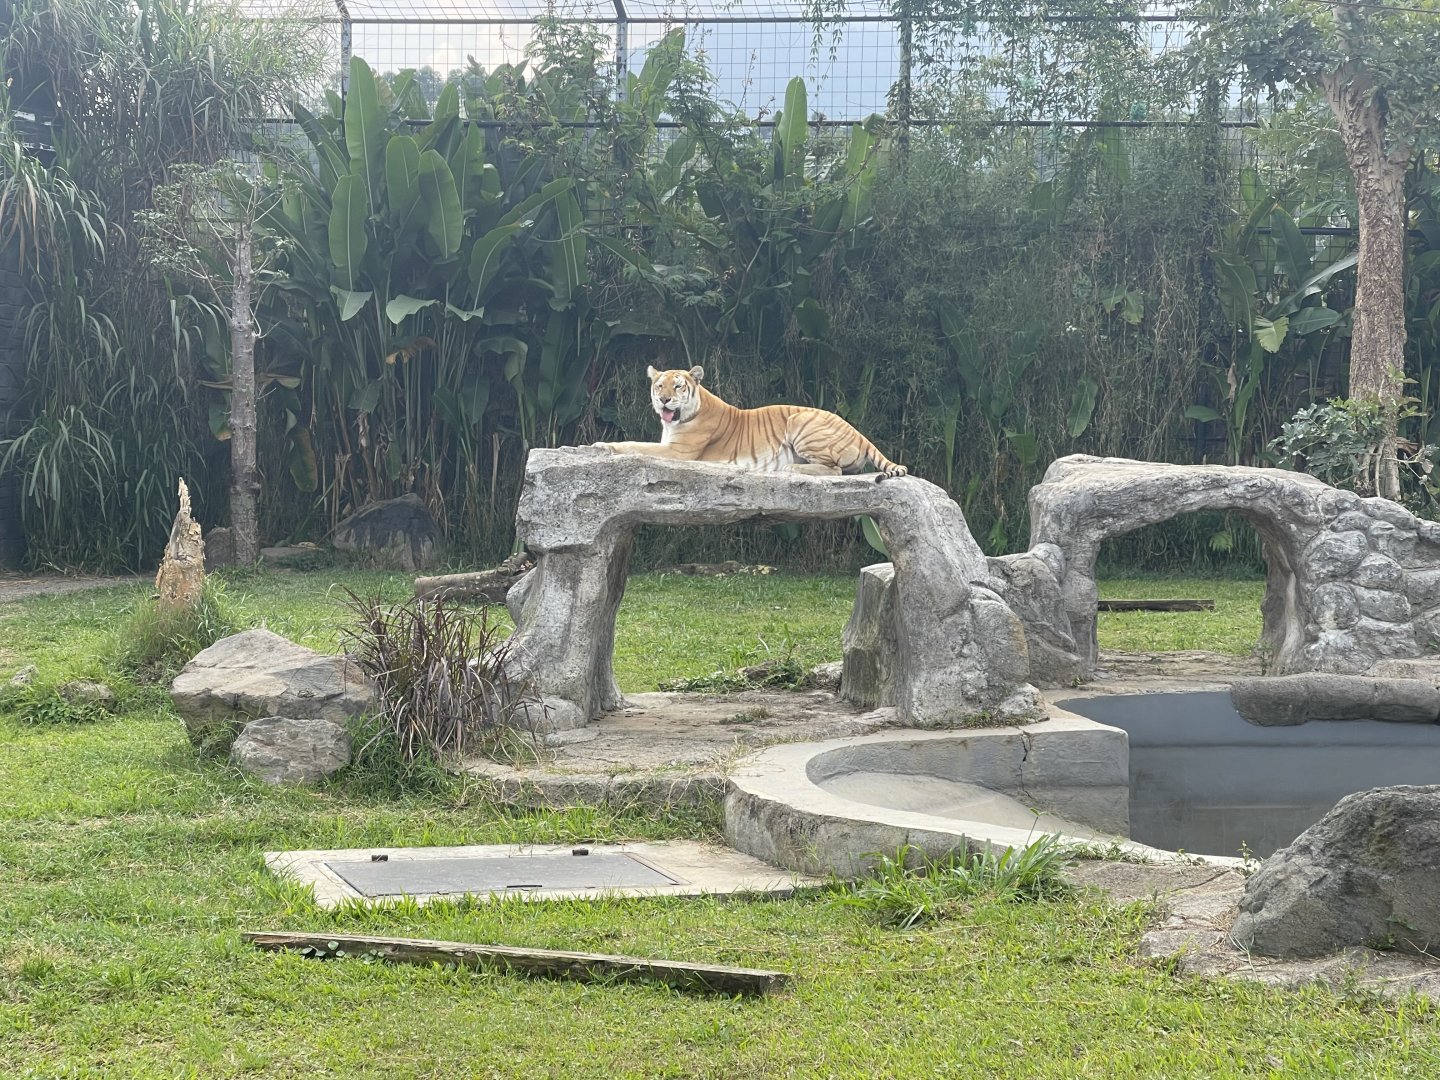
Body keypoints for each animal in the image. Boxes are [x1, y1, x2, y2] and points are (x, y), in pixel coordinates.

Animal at [593, 365, 909, 480]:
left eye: (678, 386)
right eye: (659, 385)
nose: (664, 400)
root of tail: (860, 433)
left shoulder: (678, 452)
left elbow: (636, 446)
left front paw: (603, 446)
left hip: (799, 420)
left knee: (835, 471)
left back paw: (792, 469)